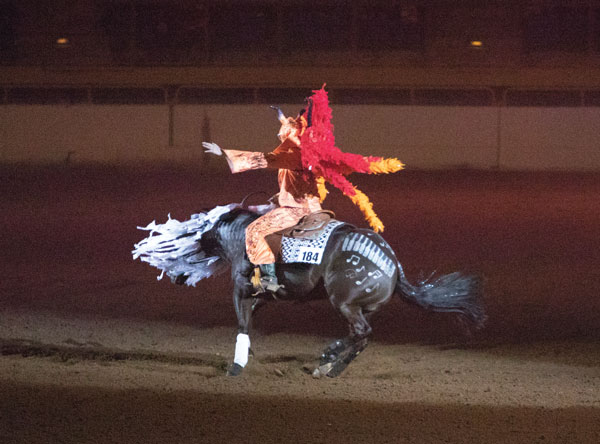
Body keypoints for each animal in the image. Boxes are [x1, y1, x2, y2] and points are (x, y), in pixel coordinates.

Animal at [179, 203, 488, 376]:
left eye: (198, 228)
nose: (182, 274)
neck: (241, 237)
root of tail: (391, 263)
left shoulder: (241, 289)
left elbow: (242, 323)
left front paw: (237, 365)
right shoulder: (263, 295)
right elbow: (251, 315)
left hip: (345, 302)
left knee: (361, 333)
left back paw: (329, 361)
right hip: (363, 307)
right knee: (361, 336)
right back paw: (329, 365)